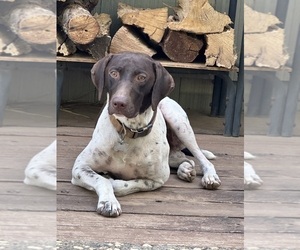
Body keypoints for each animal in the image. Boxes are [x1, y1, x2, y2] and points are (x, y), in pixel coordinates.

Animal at [70, 52, 220, 217]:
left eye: (141, 77)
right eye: (113, 73)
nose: (119, 103)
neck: (129, 130)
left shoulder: (158, 179)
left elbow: (124, 184)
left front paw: (113, 184)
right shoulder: (80, 167)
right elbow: (101, 180)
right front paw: (108, 202)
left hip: (179, 123)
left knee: (201, 158)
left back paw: (208, 176)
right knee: (183, 158)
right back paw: (185, 169)